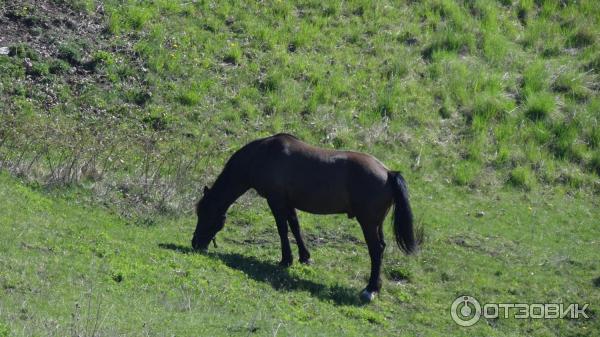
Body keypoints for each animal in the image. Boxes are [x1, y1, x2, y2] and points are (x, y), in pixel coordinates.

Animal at [192, 133, 418, 300]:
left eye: (205, 214)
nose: (195, 244)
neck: (263, 154)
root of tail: (388, 173)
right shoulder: (288, 203)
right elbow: (295, 227)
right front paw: (304, 256)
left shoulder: (276, 201)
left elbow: (282, 229)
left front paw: (286, 260)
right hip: (377, 223)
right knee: (381, 247)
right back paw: (376, 286)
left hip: (368, 223)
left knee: (376, 250)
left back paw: (370, 290)